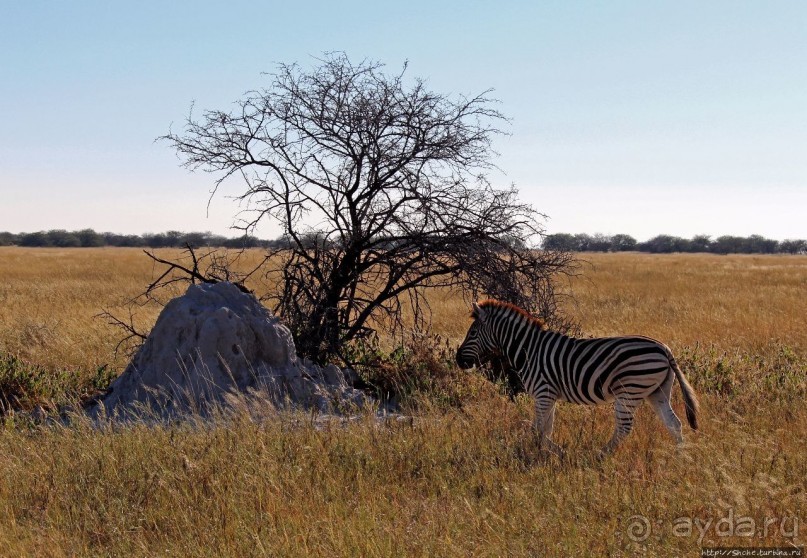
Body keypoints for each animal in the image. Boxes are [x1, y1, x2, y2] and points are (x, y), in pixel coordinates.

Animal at [454, 302, 700, 456]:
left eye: (473, 333)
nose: (458, 360)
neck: (528, 350)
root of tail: (664, 348)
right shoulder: (549, 395)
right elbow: (545, 429)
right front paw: (549, 452)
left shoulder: (543, 392)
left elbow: (537, 429)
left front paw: (548, 452)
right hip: (657, 391)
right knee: (674, 423)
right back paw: (680, 457)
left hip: (630, 390)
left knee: (624, 428)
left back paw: (601, 454)